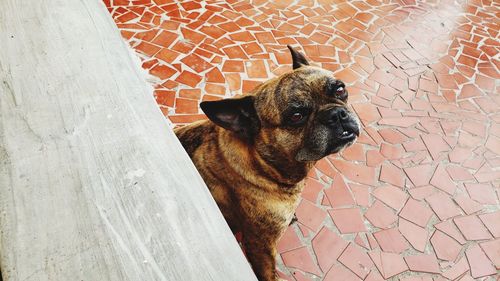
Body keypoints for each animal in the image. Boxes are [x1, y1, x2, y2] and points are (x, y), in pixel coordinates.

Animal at [175, 46, 360, 280]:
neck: (264, 165)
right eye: (296, 116)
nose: (336, 113)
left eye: (340, 90)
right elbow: (268, 273)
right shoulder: (261, 247)